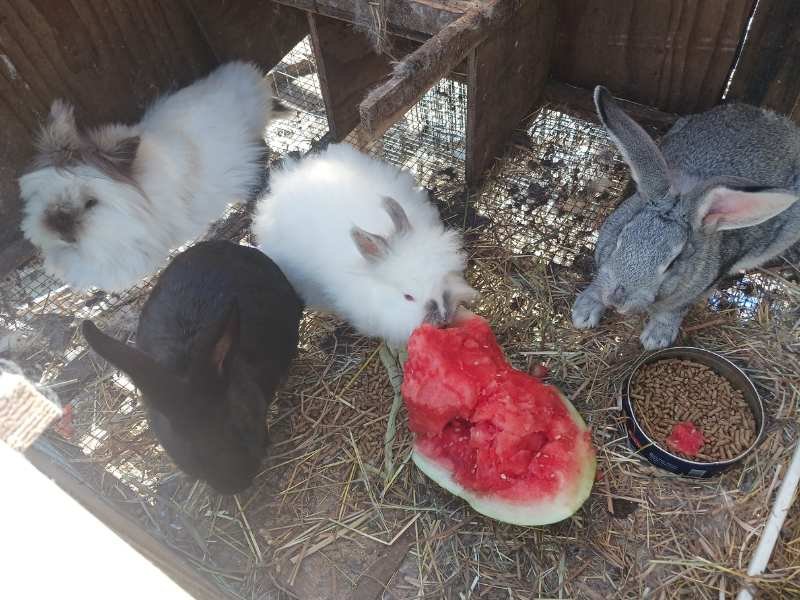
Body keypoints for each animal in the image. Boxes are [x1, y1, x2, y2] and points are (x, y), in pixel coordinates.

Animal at [572, 84, 800, 346]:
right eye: (620, 238)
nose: (617, 299)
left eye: (674, 262)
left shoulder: (692, 292)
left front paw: (656, 339)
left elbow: (671, 311)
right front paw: (584, 311)